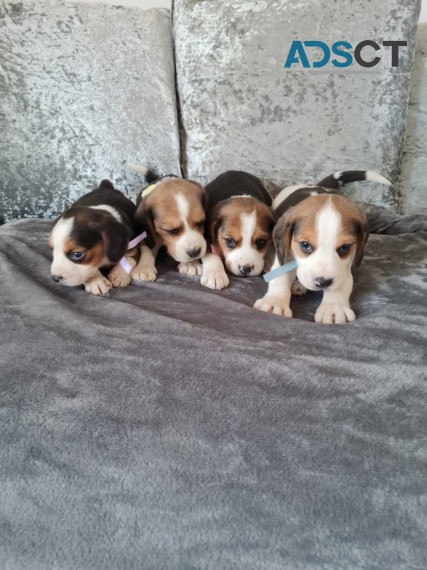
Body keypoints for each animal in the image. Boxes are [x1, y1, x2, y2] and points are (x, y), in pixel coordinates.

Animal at [254, 169, 392, 322]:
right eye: (305, 245)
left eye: (345, 248)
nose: (323, 282)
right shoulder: (284, 254)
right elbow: (280, 277)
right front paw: (274, 302)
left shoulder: (345, 266)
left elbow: (340, 283)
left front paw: (333, 308)